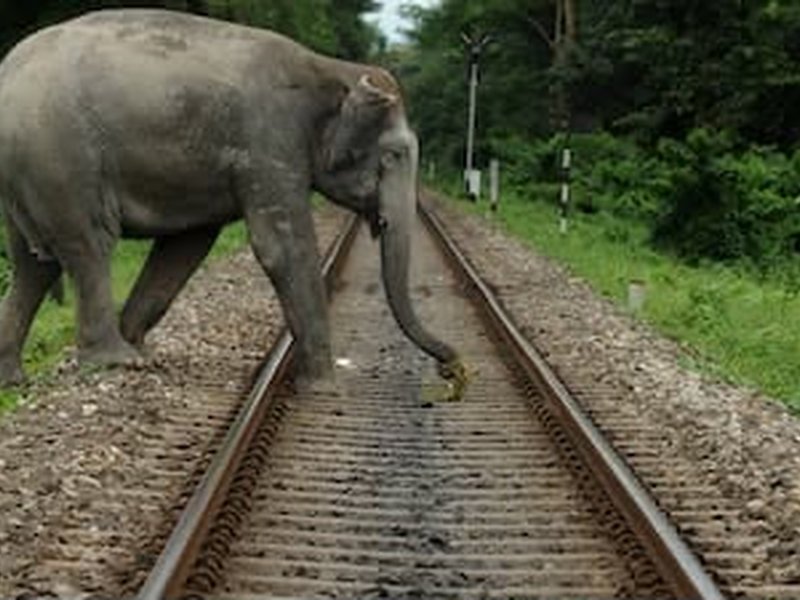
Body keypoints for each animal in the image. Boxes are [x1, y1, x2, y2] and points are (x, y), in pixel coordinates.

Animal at [0, 9, 465, 391]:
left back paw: (17, 378)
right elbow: (281, 247)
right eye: (394, 155)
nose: (453, 368)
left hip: (29, 170)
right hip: (60, 157)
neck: (328, 67)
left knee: (34, 265)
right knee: (89, 245)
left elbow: (186, 246)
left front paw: (143, 348)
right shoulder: (269, 141)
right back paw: (114, 361)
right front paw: (325, 383)